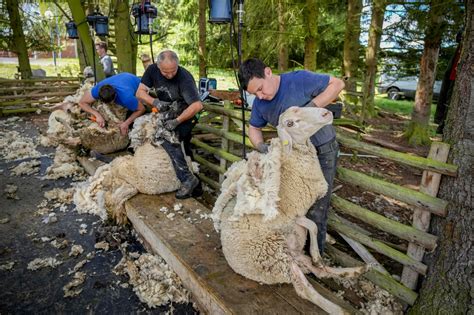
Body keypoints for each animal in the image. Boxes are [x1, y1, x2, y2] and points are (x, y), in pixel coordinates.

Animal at [213, 107, 368, 314]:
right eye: (290, 123)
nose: (326, 113)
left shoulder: (296, 216)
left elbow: (313, 226)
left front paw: (318, 255)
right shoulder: (292, 215)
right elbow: (313, 225)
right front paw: (318, 252)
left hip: (293, 255)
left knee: (319, 271)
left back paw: (354, 270)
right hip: (277, 258)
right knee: (304, 289)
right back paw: (337, 309)